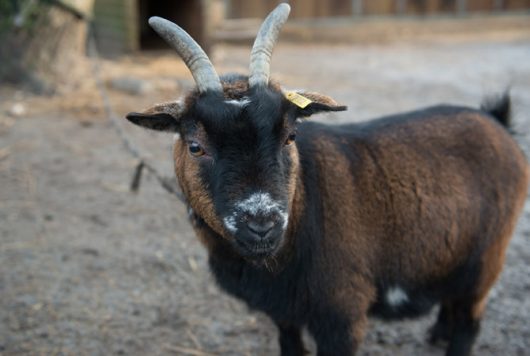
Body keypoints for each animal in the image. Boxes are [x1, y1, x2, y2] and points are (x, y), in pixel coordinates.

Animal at [125, 3, 528, 356]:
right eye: (195, 146)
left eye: (290, 136)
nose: (262, 225)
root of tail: (496, 121)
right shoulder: (284, 311)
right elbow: (290, 345)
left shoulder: (343, 311)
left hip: (487, 259)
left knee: (470, 323)